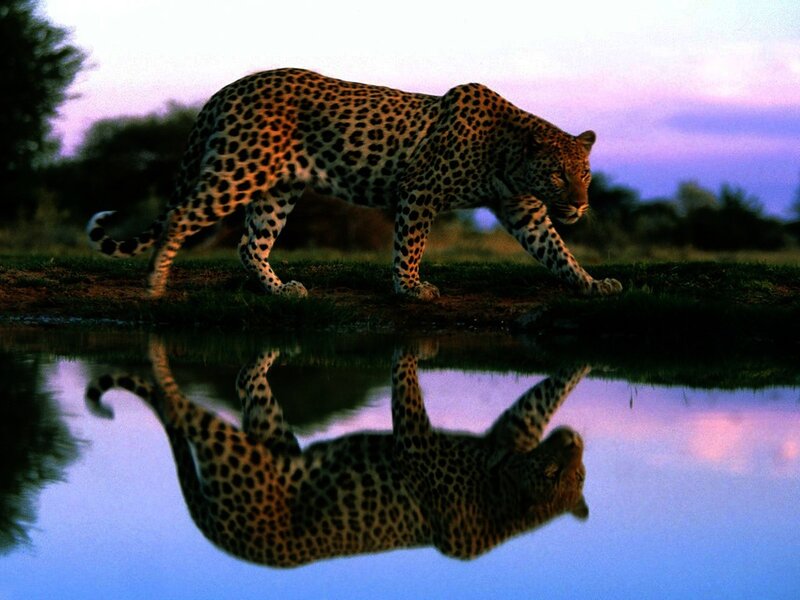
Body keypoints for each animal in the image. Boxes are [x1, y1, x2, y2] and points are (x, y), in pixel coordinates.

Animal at [86, 68, 622, 300]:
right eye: (556, 173)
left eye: (585, 175)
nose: (580, 206)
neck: (507, 155)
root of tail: (228, 88)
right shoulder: (420, 190)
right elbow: (410, 244)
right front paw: (409, 287)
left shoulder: (523, 210)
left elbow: (556, 251)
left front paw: (592, 283)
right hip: (239, 170)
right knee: (180, 215)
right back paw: (155, 282)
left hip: (277, 189)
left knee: (250, 243)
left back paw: (279, 290)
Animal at [86, 338, 589, 567]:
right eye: (552, 474)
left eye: (578, 476)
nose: (575, 442)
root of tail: (223, 539)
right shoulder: (420, 442)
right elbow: (406, 389)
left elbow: (537, 400)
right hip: (238, 453)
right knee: (179, 406)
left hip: (264, 440)